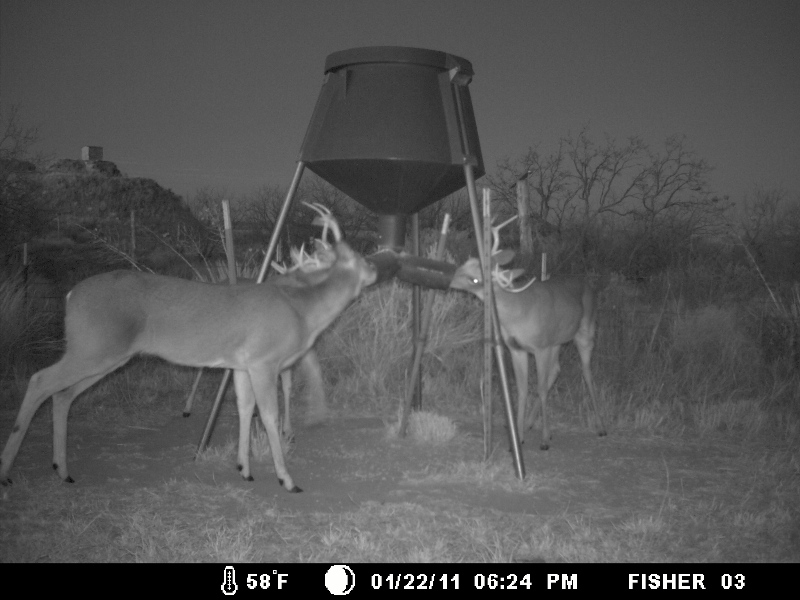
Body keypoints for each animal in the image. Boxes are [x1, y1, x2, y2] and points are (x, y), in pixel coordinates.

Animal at [0, 204, 376, 494]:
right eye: (358, 257)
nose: (375, 271)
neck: (302, 310)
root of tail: (70, 296)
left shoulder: (242, 365)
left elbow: (244, 408)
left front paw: (244, 469)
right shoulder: (263, 361)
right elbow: (267, 414)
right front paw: (287, 479)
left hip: (105, 356)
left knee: (62, 395)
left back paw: (62, 471)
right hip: (93, 347)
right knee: (40, 380)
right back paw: (8, 473)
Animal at [450, 218, 608, 448]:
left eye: (475, 280)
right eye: (465, 263)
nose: (449, 278)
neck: (518, 313)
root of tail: (589, 284)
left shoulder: (540, 347)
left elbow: (540, 388)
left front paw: (544, 439)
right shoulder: (517, 348)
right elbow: (522, 389)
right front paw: (519, 435)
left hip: (585, 332)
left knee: (586, 374)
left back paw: (601, 427)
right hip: (557, 341)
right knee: (556, 370)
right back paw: (531, 423)